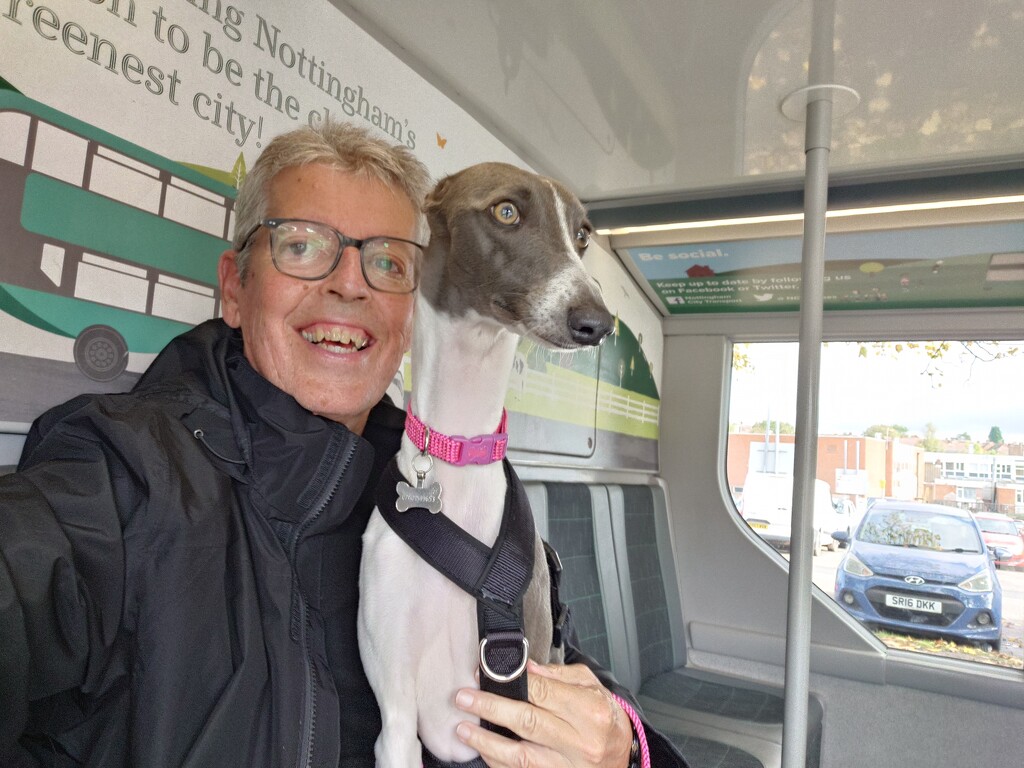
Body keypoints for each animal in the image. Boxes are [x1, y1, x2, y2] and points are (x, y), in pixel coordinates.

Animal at [360, 159, 610, 765]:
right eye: (506, 211)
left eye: (582, 235)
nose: (598, 322)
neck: (460, 450)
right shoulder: (395, 720)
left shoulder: (526, 698)